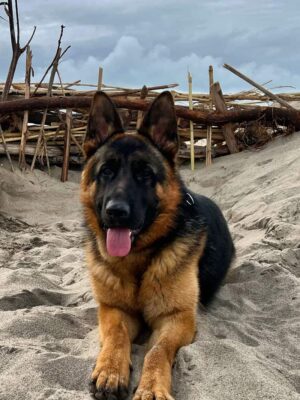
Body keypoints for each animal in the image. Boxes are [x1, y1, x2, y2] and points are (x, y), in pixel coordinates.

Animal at [81, 91, 236, 400]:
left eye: (145, 174)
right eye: (106, 171)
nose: (116, 212)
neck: (138, 260)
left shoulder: (176, 318)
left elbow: (156, 350)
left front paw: (151, 387)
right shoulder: (113, 309)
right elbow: (116, 335)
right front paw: (110, 370)